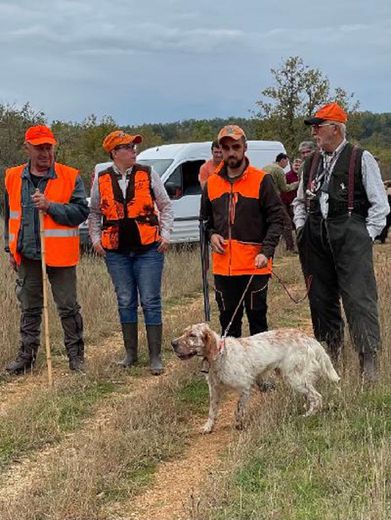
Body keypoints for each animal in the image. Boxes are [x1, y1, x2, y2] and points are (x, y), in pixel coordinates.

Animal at [172, 322, 340, 432]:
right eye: (184, 332)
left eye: (192, 335)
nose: (172, 343)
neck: (221, 354)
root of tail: (309, 339)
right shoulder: (214, 389)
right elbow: (212, 411)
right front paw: (208, 427)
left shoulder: (245, 387)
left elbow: (238, 409)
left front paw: (239, 425)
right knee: (311, 397)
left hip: (295, 378)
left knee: (317, 397)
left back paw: (308, 415)